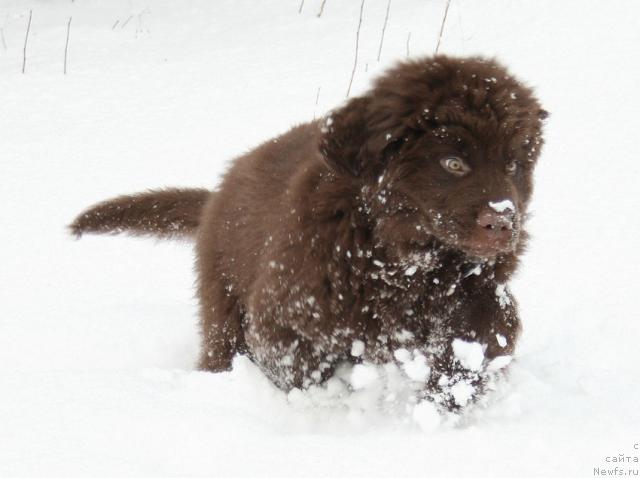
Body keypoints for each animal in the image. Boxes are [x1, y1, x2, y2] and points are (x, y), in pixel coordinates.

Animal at [72, 56, 548, 410]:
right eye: (454, 163)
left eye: (513, 165)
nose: (503, 222)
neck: (402, 260)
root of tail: (217, 195)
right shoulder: (288, 315)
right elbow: (301, 372)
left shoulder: (481, 296)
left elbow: (480, 343)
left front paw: (444, 401)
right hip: (224, 305)